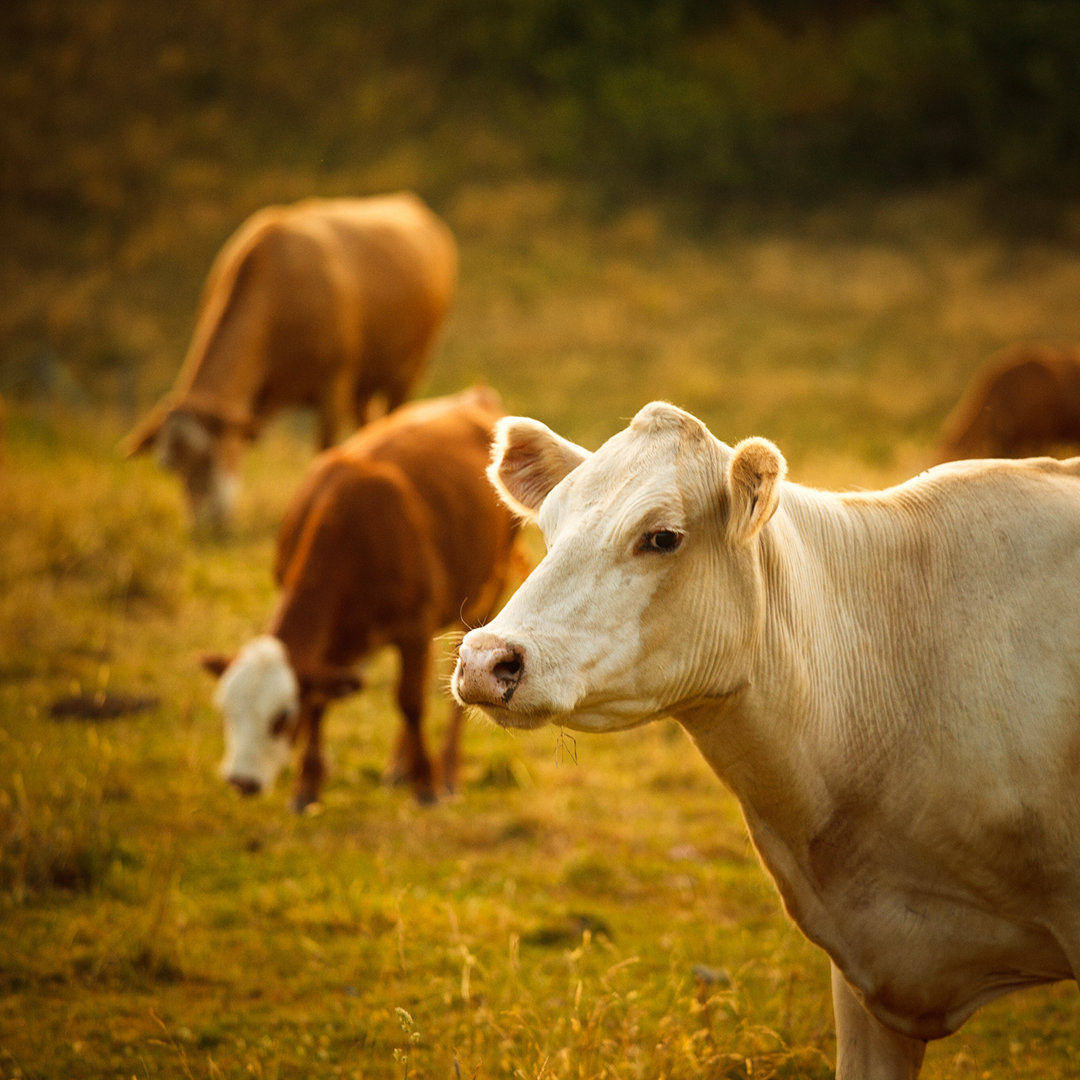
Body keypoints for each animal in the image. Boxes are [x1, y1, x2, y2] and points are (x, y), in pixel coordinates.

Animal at [124, 196, 457, 533]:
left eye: (207, 458)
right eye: (169, 466)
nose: (202, 525)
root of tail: (406, 200)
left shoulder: (333, 384)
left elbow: (324, 448)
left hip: (411, 366)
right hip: (365, 383)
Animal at [203, 388, 522, 812]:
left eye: (281, 717)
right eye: (226, 711)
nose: (242, 781)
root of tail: (473, 398)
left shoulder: (413, 627)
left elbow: (409, 702)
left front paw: (426, 783)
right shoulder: (333, 649)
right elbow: (320, 701)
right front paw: (307, 786)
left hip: (490, 587)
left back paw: (448, 770)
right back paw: (398, 766)